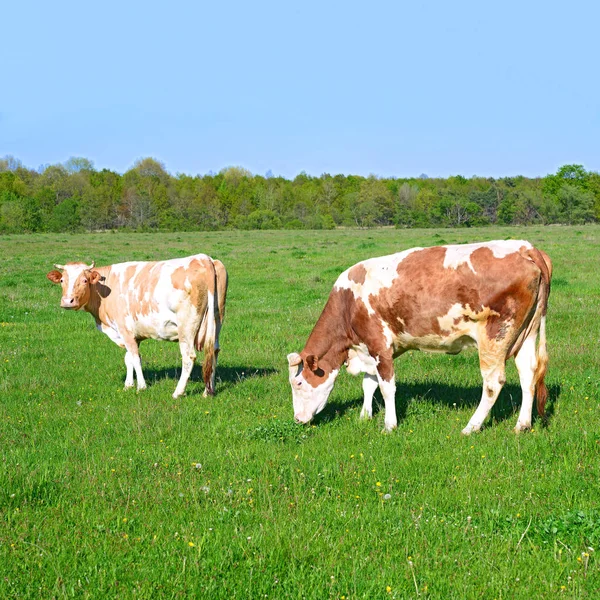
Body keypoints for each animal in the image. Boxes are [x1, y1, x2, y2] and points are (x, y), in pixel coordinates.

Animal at [47, 254, 229, 398]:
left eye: (84, 280)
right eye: (62, 280)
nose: (67, 301)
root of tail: (204, 258)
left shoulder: (124, 329)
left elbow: (135, 357)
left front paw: (141, 386)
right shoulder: (133, 334)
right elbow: (128, 358)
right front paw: (128, 385)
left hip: (187, 327)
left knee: (189, 357)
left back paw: (178, 392)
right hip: (217, 320)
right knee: (213, 351)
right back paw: (208, 391)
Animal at [288, 240, 552, 436]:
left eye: (298, 383)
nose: (298, 419)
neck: (348, 303)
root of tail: (525, 247)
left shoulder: (378, 344)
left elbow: (386, 388)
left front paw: (389, 425)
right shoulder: (368, 348)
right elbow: (368, 383)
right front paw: (364, 416)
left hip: (495, 335)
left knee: (493, 383)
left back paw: (471, 427)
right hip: (526, 333)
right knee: (528, 373)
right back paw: (522, 425)